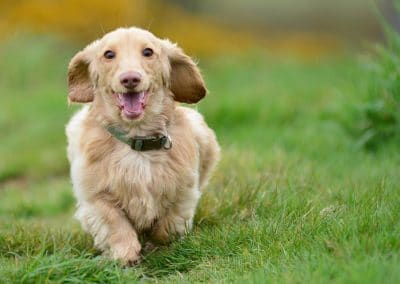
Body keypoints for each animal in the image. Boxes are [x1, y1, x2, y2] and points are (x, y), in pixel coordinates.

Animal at [67, 26, 220, 264]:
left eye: (148, 52)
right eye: (109, 54)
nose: (130, 79)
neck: (136, 141)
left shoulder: (184, 193)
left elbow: (167, 226)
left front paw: (154, 244)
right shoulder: (94, 197)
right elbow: (114, 222)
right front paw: (126, 255)